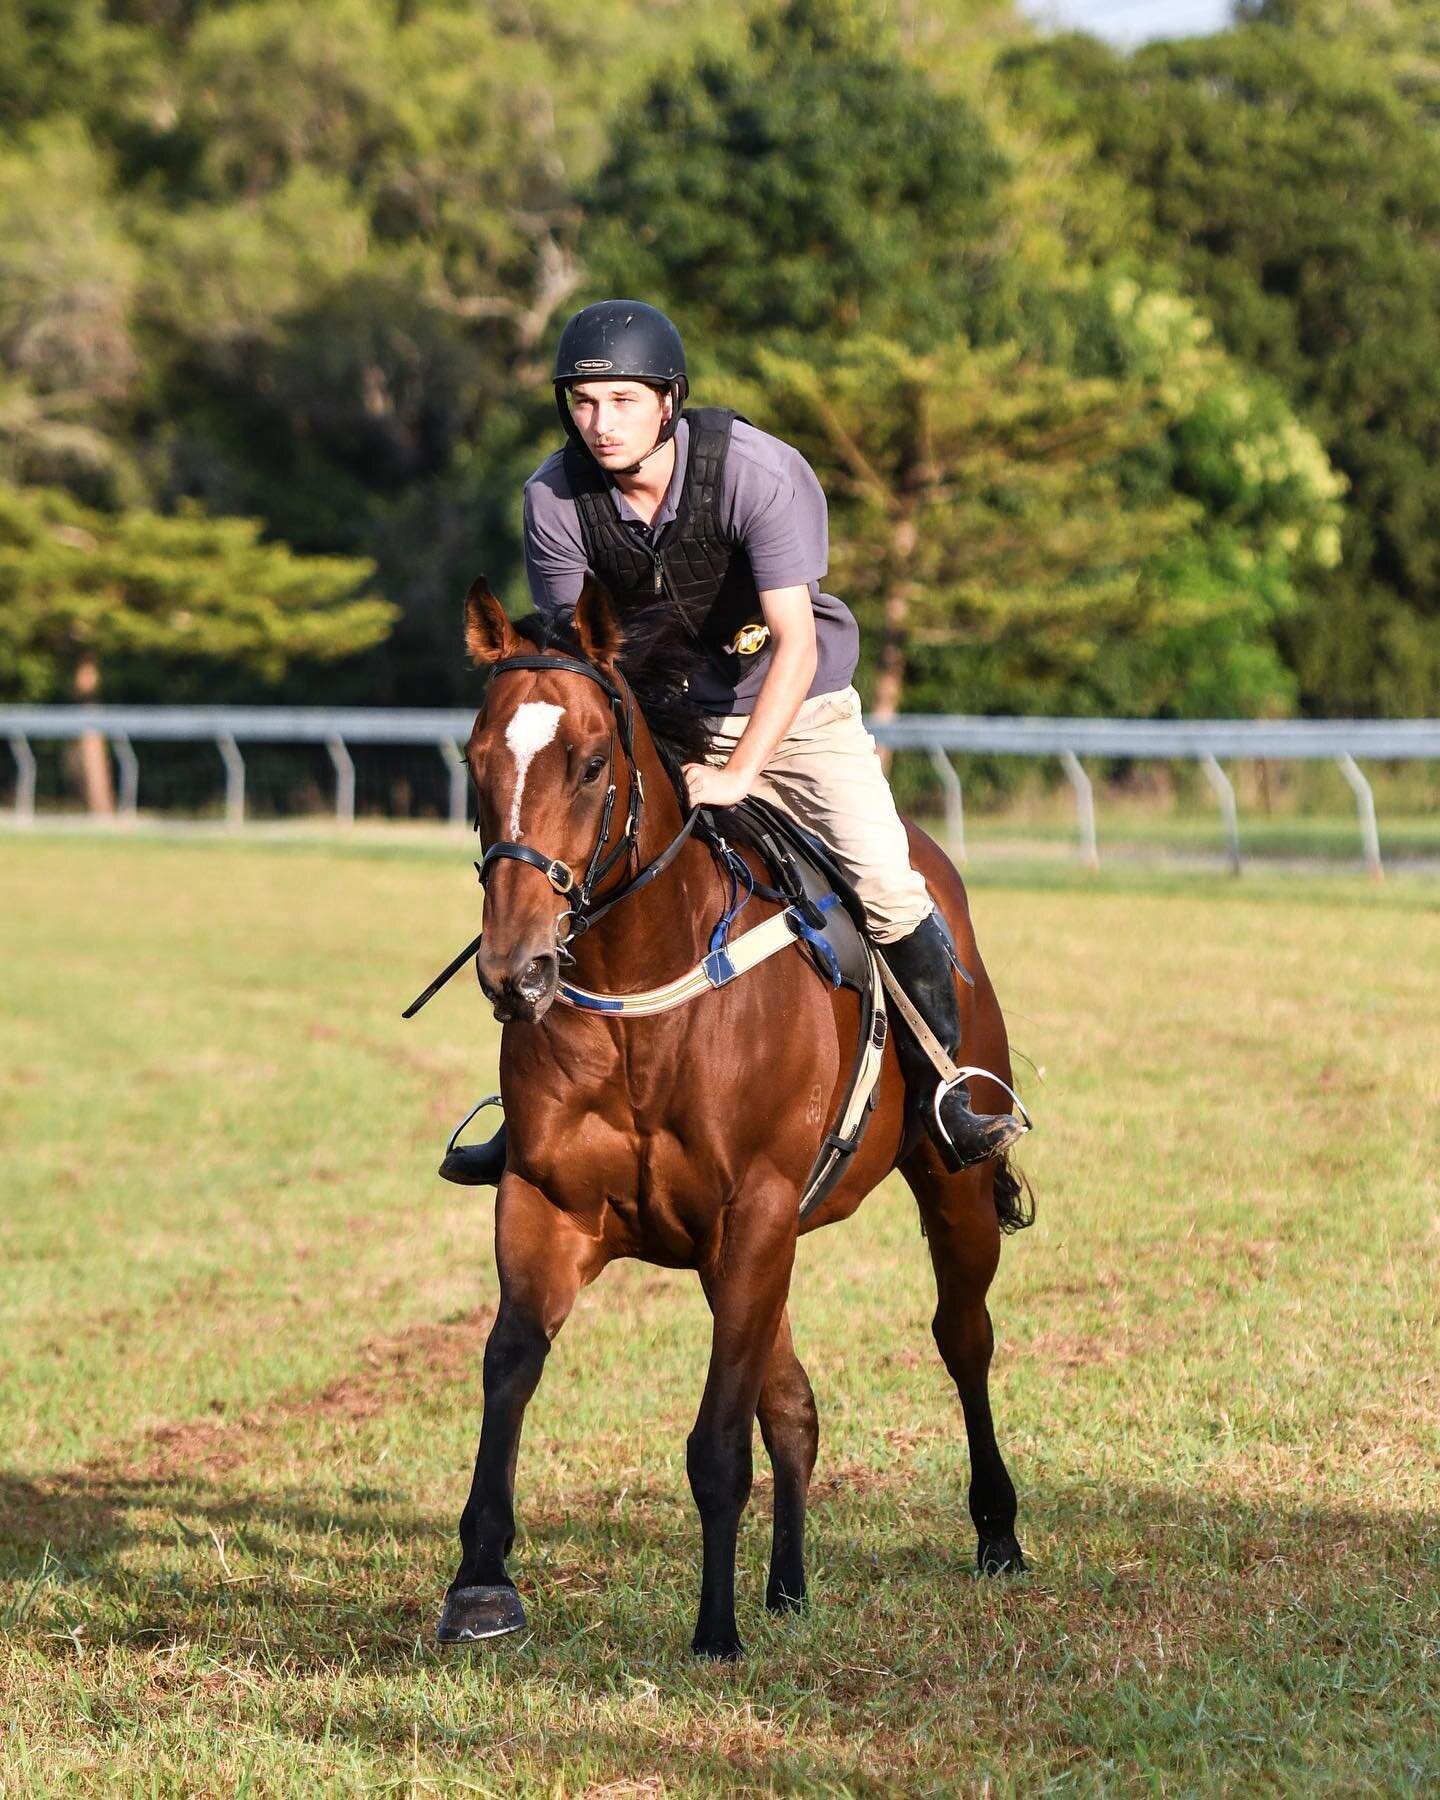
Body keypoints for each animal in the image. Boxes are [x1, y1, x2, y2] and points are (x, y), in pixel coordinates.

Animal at [433, 576, 1029, 1656]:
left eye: (591, 763)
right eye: (475, 758)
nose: (516, 968)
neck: (646, 997)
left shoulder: (750, 1215)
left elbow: (717, 1438)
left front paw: (714, 1627)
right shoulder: (550, 1205)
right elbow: (510, 1365)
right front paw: (481, 1583)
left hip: (949, 1187)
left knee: (963, 1337)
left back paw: (997, 1532)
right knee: (792, 1404)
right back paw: (787, 1584)